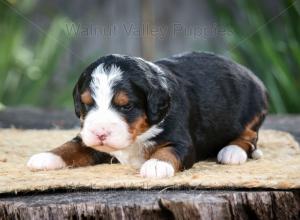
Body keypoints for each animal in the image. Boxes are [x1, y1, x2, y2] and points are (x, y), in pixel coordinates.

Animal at [27, 52, 268, 179]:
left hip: (253, 109)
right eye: (87, 104)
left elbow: (169, 150)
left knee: (250, 137)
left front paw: (156, 164)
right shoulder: (89, 139)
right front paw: (47, 156)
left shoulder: (182, 141)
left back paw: (232, 151)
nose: (100, 133)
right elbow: (72, 146)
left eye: (125, 106)